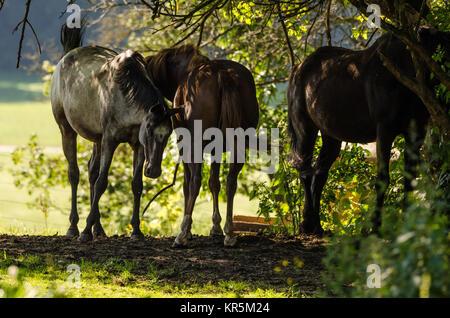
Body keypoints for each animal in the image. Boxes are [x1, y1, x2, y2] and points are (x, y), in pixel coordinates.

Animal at [144, 44, 256, 247]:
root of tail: (222, 73)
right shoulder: (216, 149)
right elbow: (214, 183)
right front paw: (216, 226)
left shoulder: (185, 145)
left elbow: (187, 184)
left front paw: (188, 230)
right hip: (239, 143)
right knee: (231, 181)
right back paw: (229, 232)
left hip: (195, 144)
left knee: (195, 181)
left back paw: (181, 234)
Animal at [288, 27, 450, 235]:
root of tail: (298, 68)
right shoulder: (385, 130)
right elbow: (382, 179)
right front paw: (375, 227)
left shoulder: (416, 134)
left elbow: (409, 180)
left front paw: (406, 226)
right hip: (305, 128)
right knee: (305, 170)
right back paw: (307, 224)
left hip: (330, 136)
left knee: (319, 172)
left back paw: (316, 225)